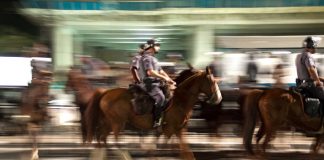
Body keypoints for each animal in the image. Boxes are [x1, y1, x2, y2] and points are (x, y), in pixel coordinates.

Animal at [83, 67, 221, 159]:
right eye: (212, 81)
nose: (218, 98)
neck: (180, 100)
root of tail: (105, 92)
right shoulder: (169, 130)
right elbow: (161, 150)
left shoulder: (180, 130)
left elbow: (186, 152)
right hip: (118, 123)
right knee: (114, 143)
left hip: (108, 122)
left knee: (101, 139)